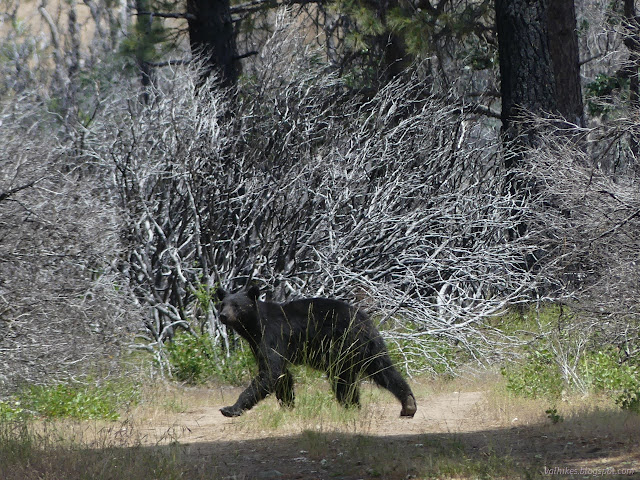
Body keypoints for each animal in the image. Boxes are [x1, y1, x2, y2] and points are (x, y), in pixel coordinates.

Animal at [215, 284, 418, 416]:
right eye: (222, 304)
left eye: (236, 305)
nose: (223, 316)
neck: (253, 327)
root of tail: (363, 320)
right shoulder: (257, 344)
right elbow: (281, 375)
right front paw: (288, 405)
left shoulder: (272, 335)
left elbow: (271, 371)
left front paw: (230, 408)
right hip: (368, 346)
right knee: (384, 369)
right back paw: (407, 404)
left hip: (340, 346)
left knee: (342, 379)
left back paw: (350, 405)